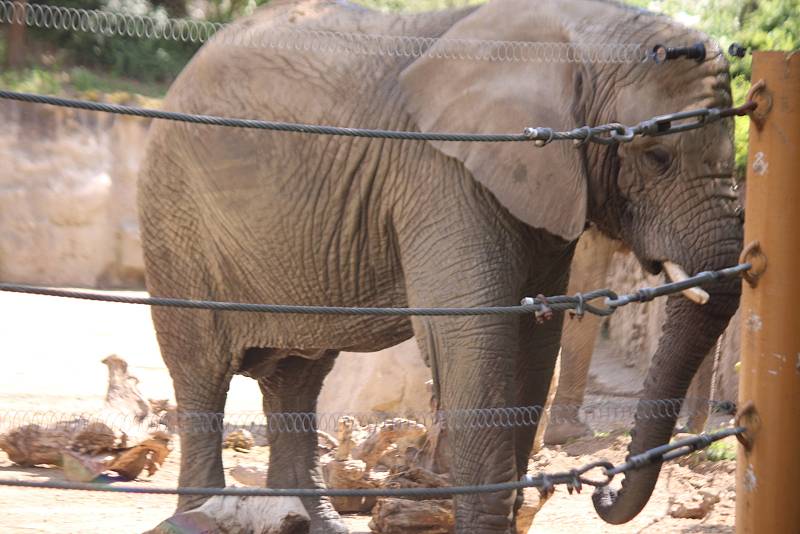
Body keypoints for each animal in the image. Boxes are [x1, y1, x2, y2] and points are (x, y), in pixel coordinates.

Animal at [138, 0, 744, 532]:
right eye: (657, 157)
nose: (601, 490)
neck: (580, 33)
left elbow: (533, 345)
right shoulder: (443, 174)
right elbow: (475, 343)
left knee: (297, 378)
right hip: (176, 218)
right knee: (202, 373)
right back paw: (199, 516)